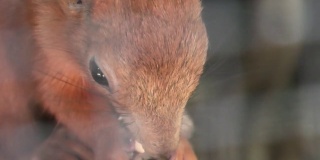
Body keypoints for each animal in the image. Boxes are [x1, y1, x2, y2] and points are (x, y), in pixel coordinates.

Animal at [0, 0, 208, 160]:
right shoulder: (49, 48)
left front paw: (182, 147)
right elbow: (65, 98)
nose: (163, 152)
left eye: (201, 55)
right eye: (98, 74)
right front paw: (113, 145)